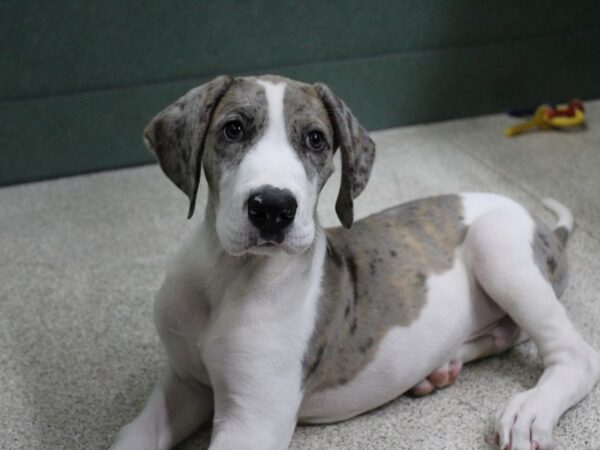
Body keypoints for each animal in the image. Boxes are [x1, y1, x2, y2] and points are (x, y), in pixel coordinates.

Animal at [112, 74, 600, 450]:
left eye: (315, 139)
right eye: (233, 130)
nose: (273, 208)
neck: (226, 276)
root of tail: (543, 225)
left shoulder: (252, 421)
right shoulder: (184, 383)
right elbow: (131, 436)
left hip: (495, 242)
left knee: (577, 356)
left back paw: (530, 409)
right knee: (505, 333)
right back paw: (440, 368)